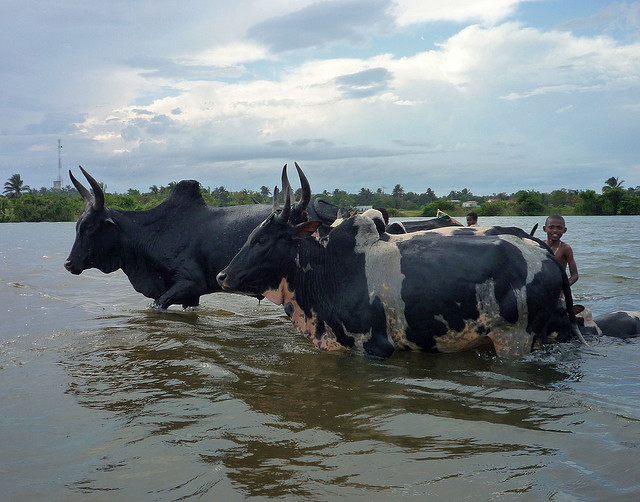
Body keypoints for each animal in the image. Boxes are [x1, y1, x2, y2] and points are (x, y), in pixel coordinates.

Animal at [218, 167, 584, 358]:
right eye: (252, 235)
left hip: (515, 342)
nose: (223, 275)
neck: (329, 268)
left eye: (263, 240)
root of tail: (547, 256)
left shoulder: (375, 347)